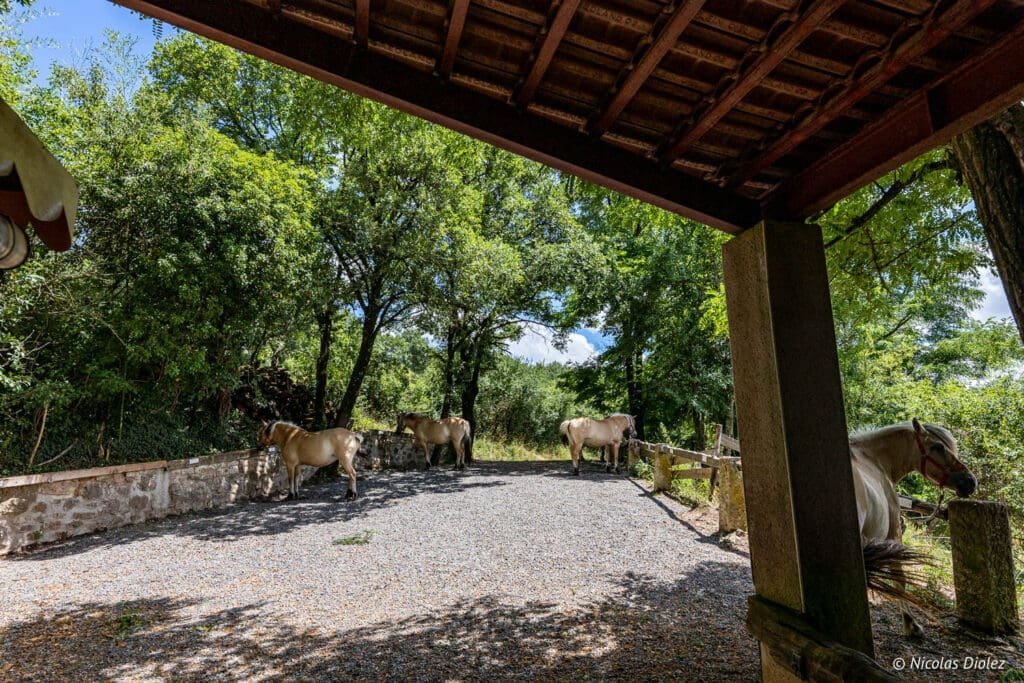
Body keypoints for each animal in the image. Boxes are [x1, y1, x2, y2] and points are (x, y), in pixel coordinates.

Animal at [853, 418, 976, 636]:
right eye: (938, 447)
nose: (970, 481)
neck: (874, 460)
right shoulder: (893, 535)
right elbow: (900, 580)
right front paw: (911, 624)